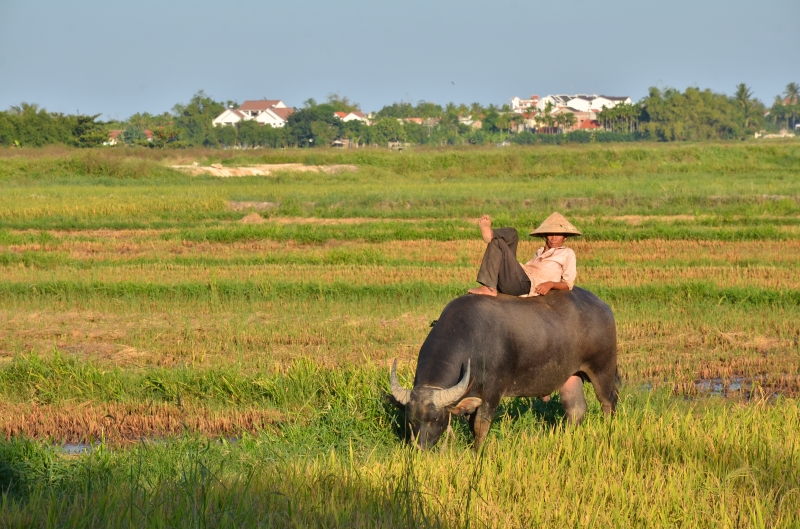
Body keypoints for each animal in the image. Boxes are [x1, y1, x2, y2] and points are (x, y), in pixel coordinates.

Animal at [388, 286, 620, 448]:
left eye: (435, 418)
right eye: (410, 420)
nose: (420, 448)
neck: (472, 341)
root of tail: (603, 307)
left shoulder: (492, 392)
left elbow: (480, 425)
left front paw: (478, 451)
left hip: (603, 369)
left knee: (608, 402)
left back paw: (609, 430)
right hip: (571, 376)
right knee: (576, 409)